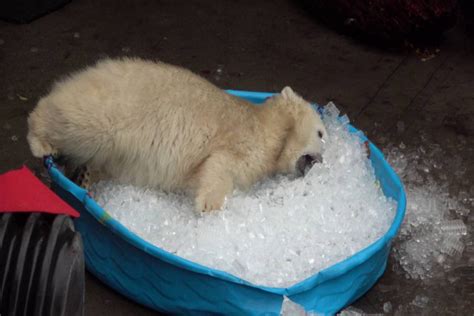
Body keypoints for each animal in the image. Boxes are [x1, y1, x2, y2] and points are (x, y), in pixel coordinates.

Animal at [27, 58, 326, 212]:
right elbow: (220, 165)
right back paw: (40, 140)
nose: (323, 160)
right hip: (114, 108)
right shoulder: (244, 140)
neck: (271, 127)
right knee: (79, 120)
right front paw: (210, 205)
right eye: (322, 133)